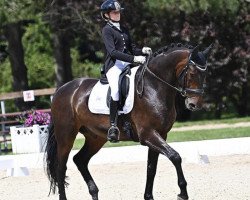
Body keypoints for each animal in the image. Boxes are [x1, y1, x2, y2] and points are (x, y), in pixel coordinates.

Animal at [45, 43, 213, 199]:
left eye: (205, 74)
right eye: (192, 73)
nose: (194, 105)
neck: (154, 87)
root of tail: (61, 90)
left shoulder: (160, 135)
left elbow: (151, 168)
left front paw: (148, 196)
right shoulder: (148, 134)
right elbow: (175, 157)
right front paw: (182, 193)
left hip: (95, 137)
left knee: (80, 160)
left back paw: (94, 192)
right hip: (66, 135)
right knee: (61, 167)